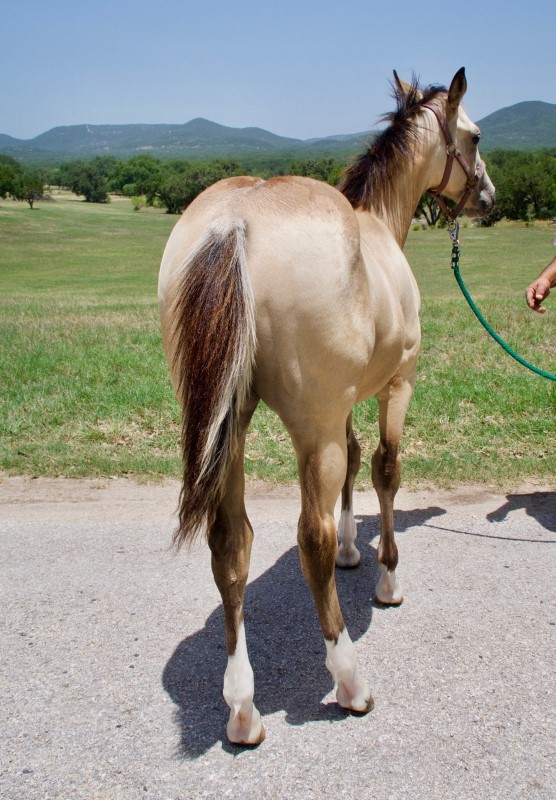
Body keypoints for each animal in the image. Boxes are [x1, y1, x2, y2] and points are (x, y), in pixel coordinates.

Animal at [157, 67, 496, 744]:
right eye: (473, 136)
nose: (489, 197)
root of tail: (235, 223)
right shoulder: (396, 385)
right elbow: (386, 470)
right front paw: (387, 575)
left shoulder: (345, 407)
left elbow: (357, 464)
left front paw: (351, 549)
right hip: (311, 429)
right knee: (305, 539)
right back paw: (348, 680)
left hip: (230, 429)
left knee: (229, 543)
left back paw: (242, 709)